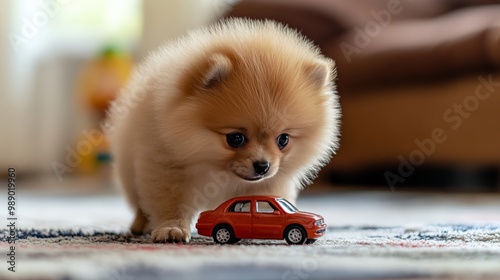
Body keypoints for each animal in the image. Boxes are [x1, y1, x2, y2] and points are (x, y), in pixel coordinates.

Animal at [105, 19, 340, 243]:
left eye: (283, 139)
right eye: (235, 138)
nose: (263, 166)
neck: (216, 168)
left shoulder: (271, 182)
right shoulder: (164, 164)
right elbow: (169, 202)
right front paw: (171, 228)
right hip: (129, 170)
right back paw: (140, 224)